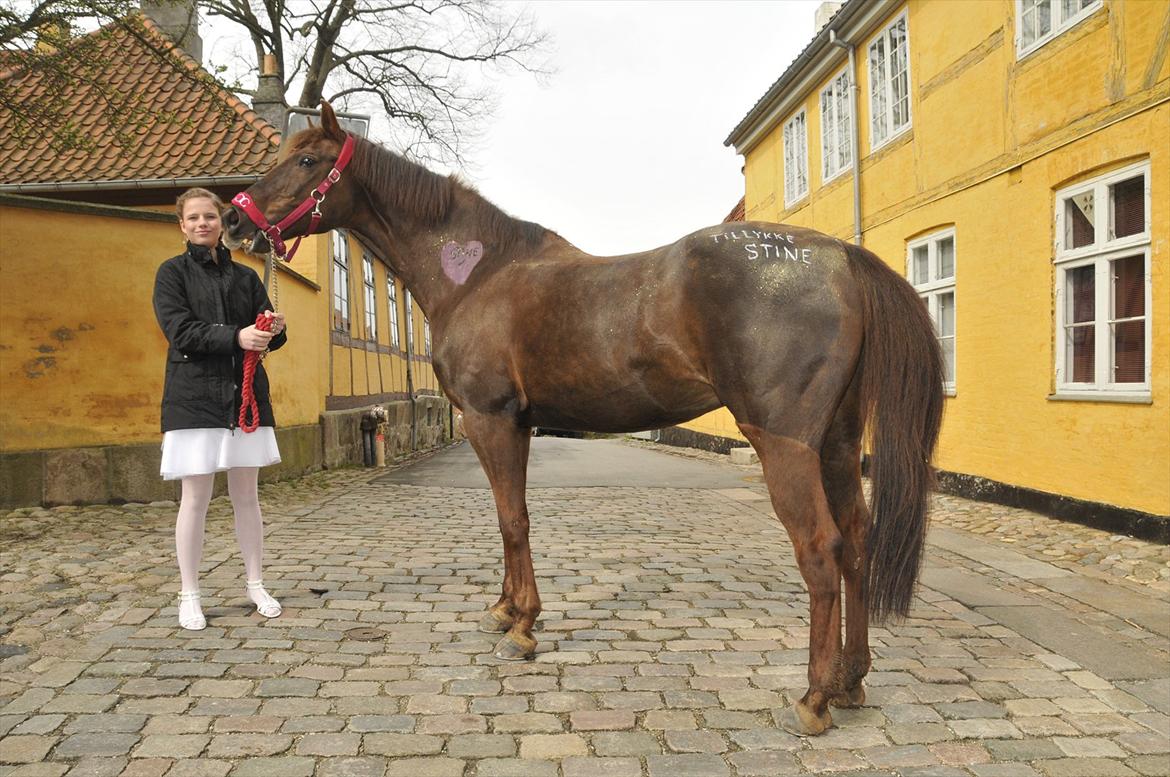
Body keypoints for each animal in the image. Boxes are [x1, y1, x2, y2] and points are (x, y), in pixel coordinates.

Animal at [223, 102, 945, 734]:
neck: (479, 273)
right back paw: (851, 680)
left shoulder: (491, 420)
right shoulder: (514, 424)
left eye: (308, 159)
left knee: (821, 551)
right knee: (856, 540)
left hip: (786, 445)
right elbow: (509, 516)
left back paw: (814, 697)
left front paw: (522, 626)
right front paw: (506, 608)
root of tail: (840, 258)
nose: (233, 221)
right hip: (838, 444)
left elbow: (512, 519)